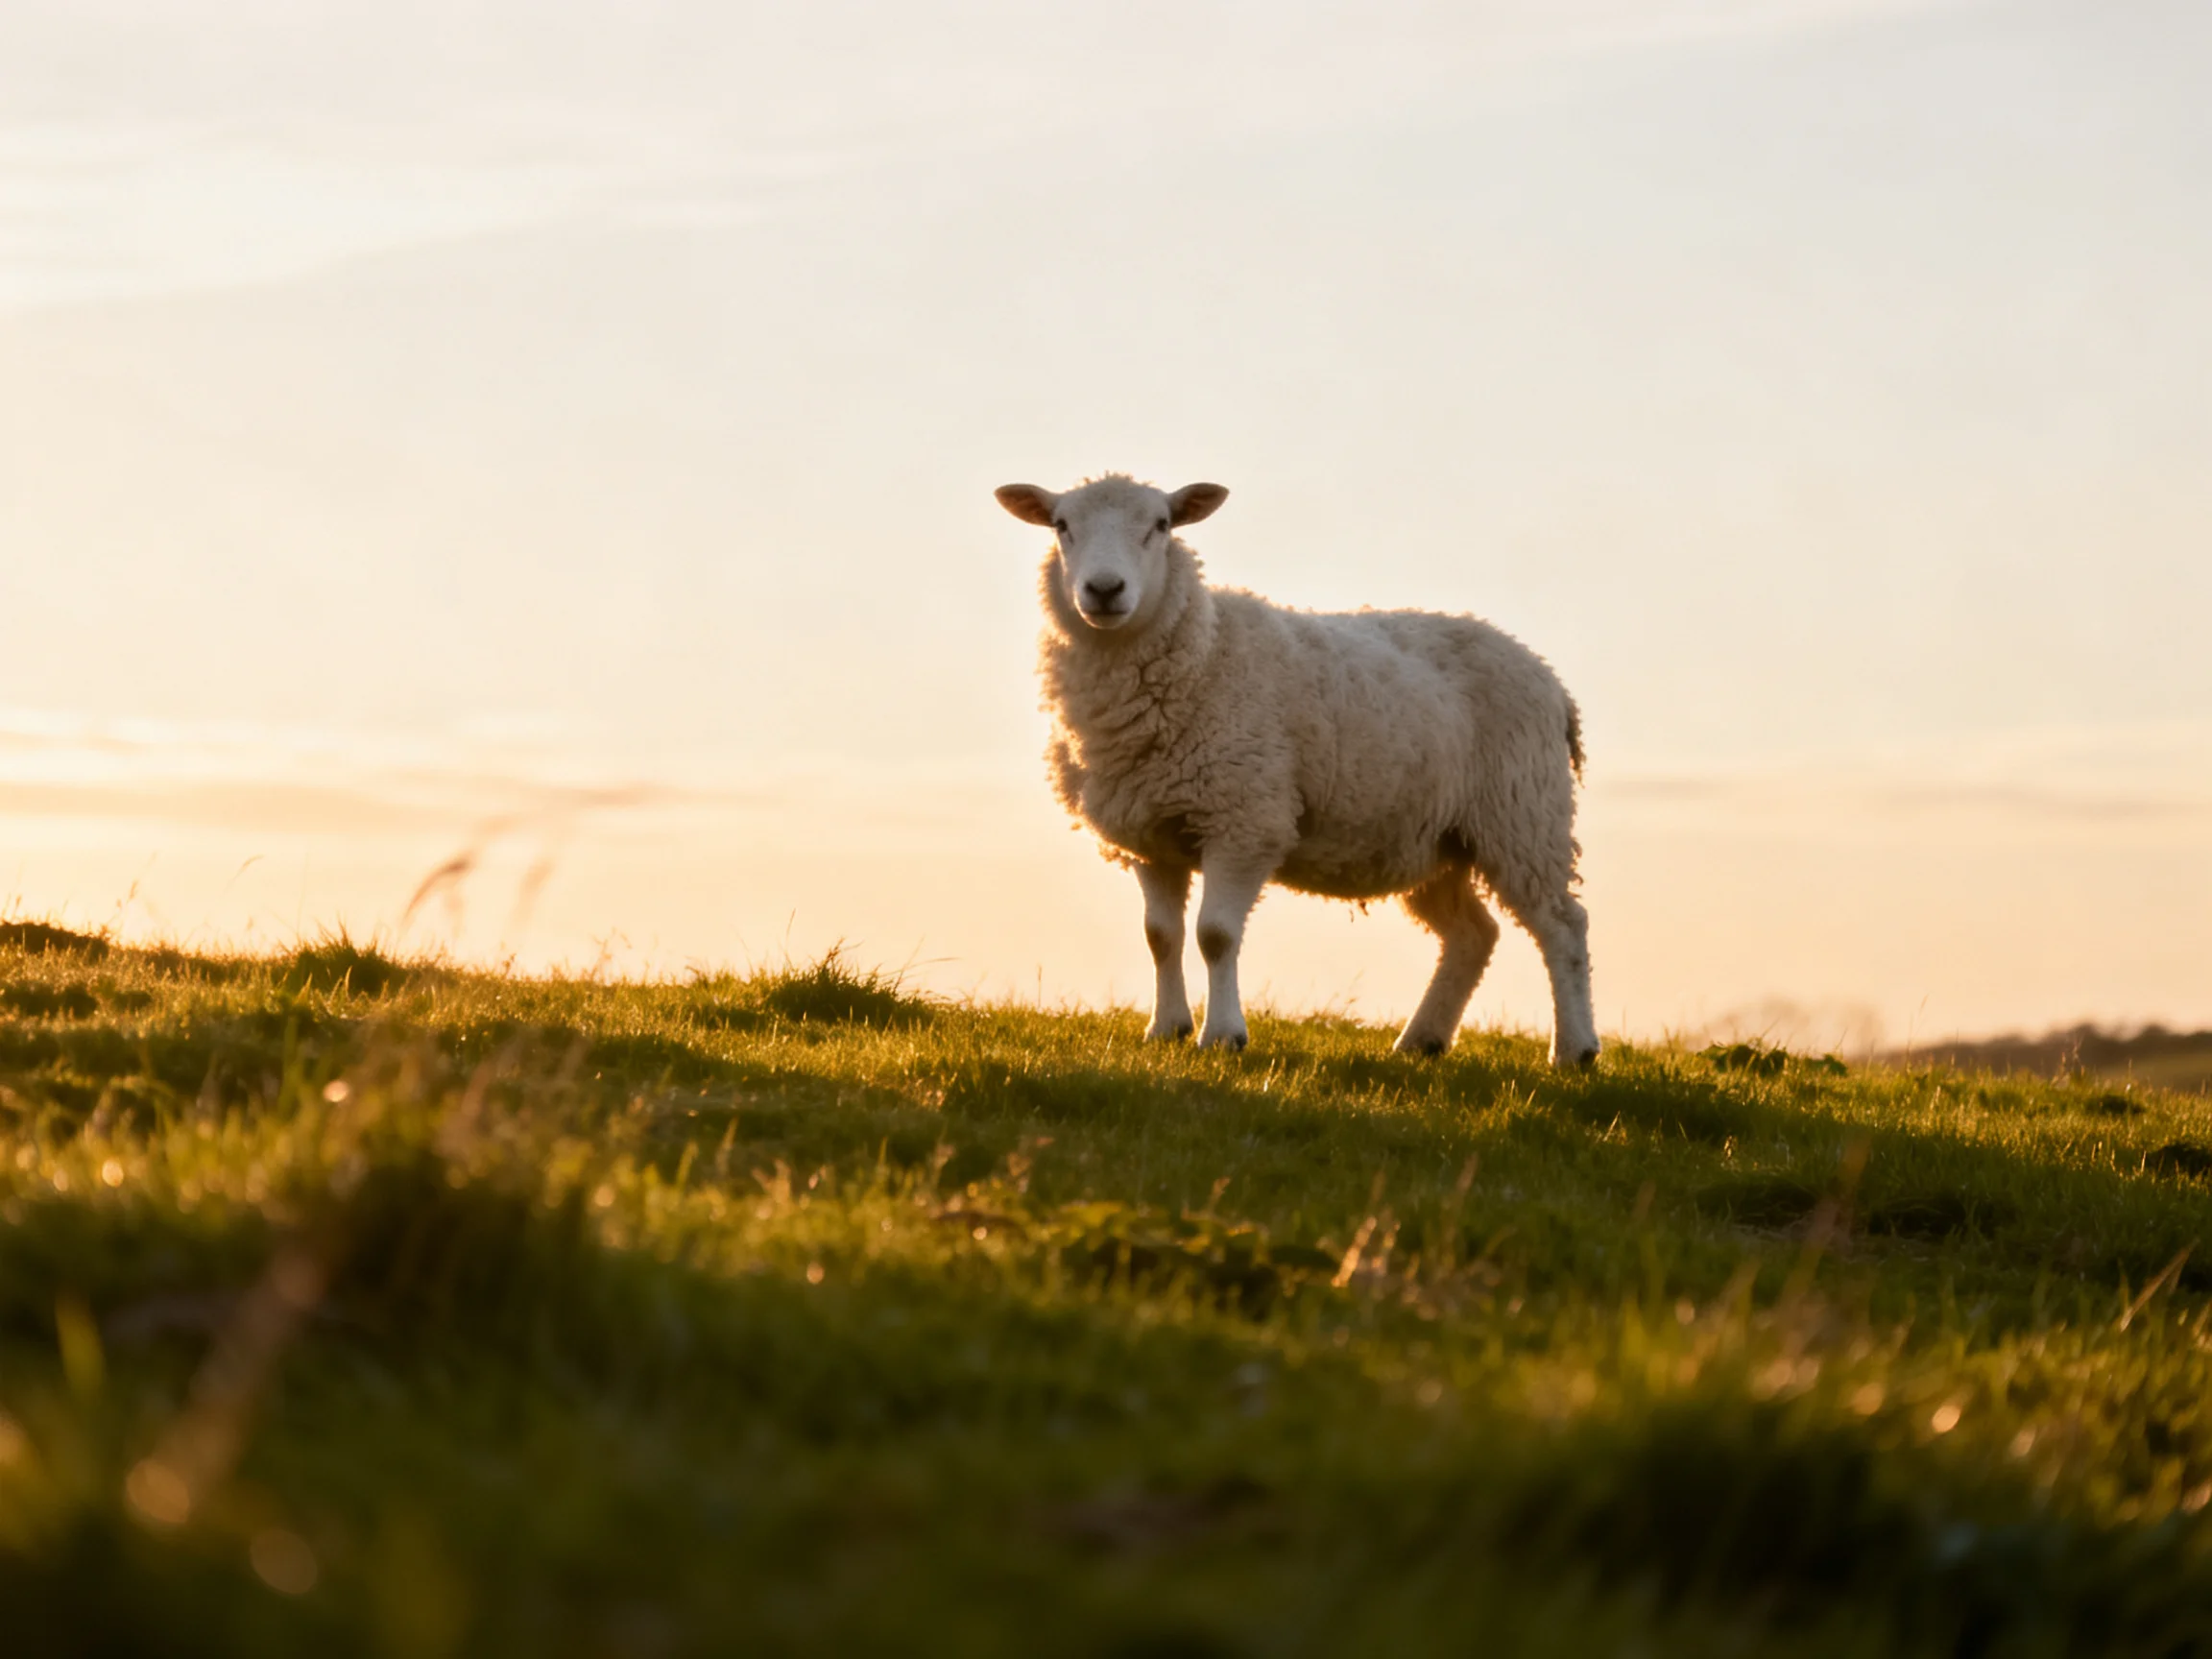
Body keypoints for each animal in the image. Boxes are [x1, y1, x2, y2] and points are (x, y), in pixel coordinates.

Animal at [994, 472, 1599, 1067]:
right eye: (1062, 525)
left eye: (1161, 525)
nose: (1104, 590)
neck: (1203, 650)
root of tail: (1551, 681)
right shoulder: (1150, 834)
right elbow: (1160, 936)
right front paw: (1166, 1029)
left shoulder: (1244, 820)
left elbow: (1215, 935)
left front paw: (1223, 1036)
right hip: (1434, 840)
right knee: (1474, 934)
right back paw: (1420, 1040)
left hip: (1522, 812)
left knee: (1562, 925)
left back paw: (1574, 1048)